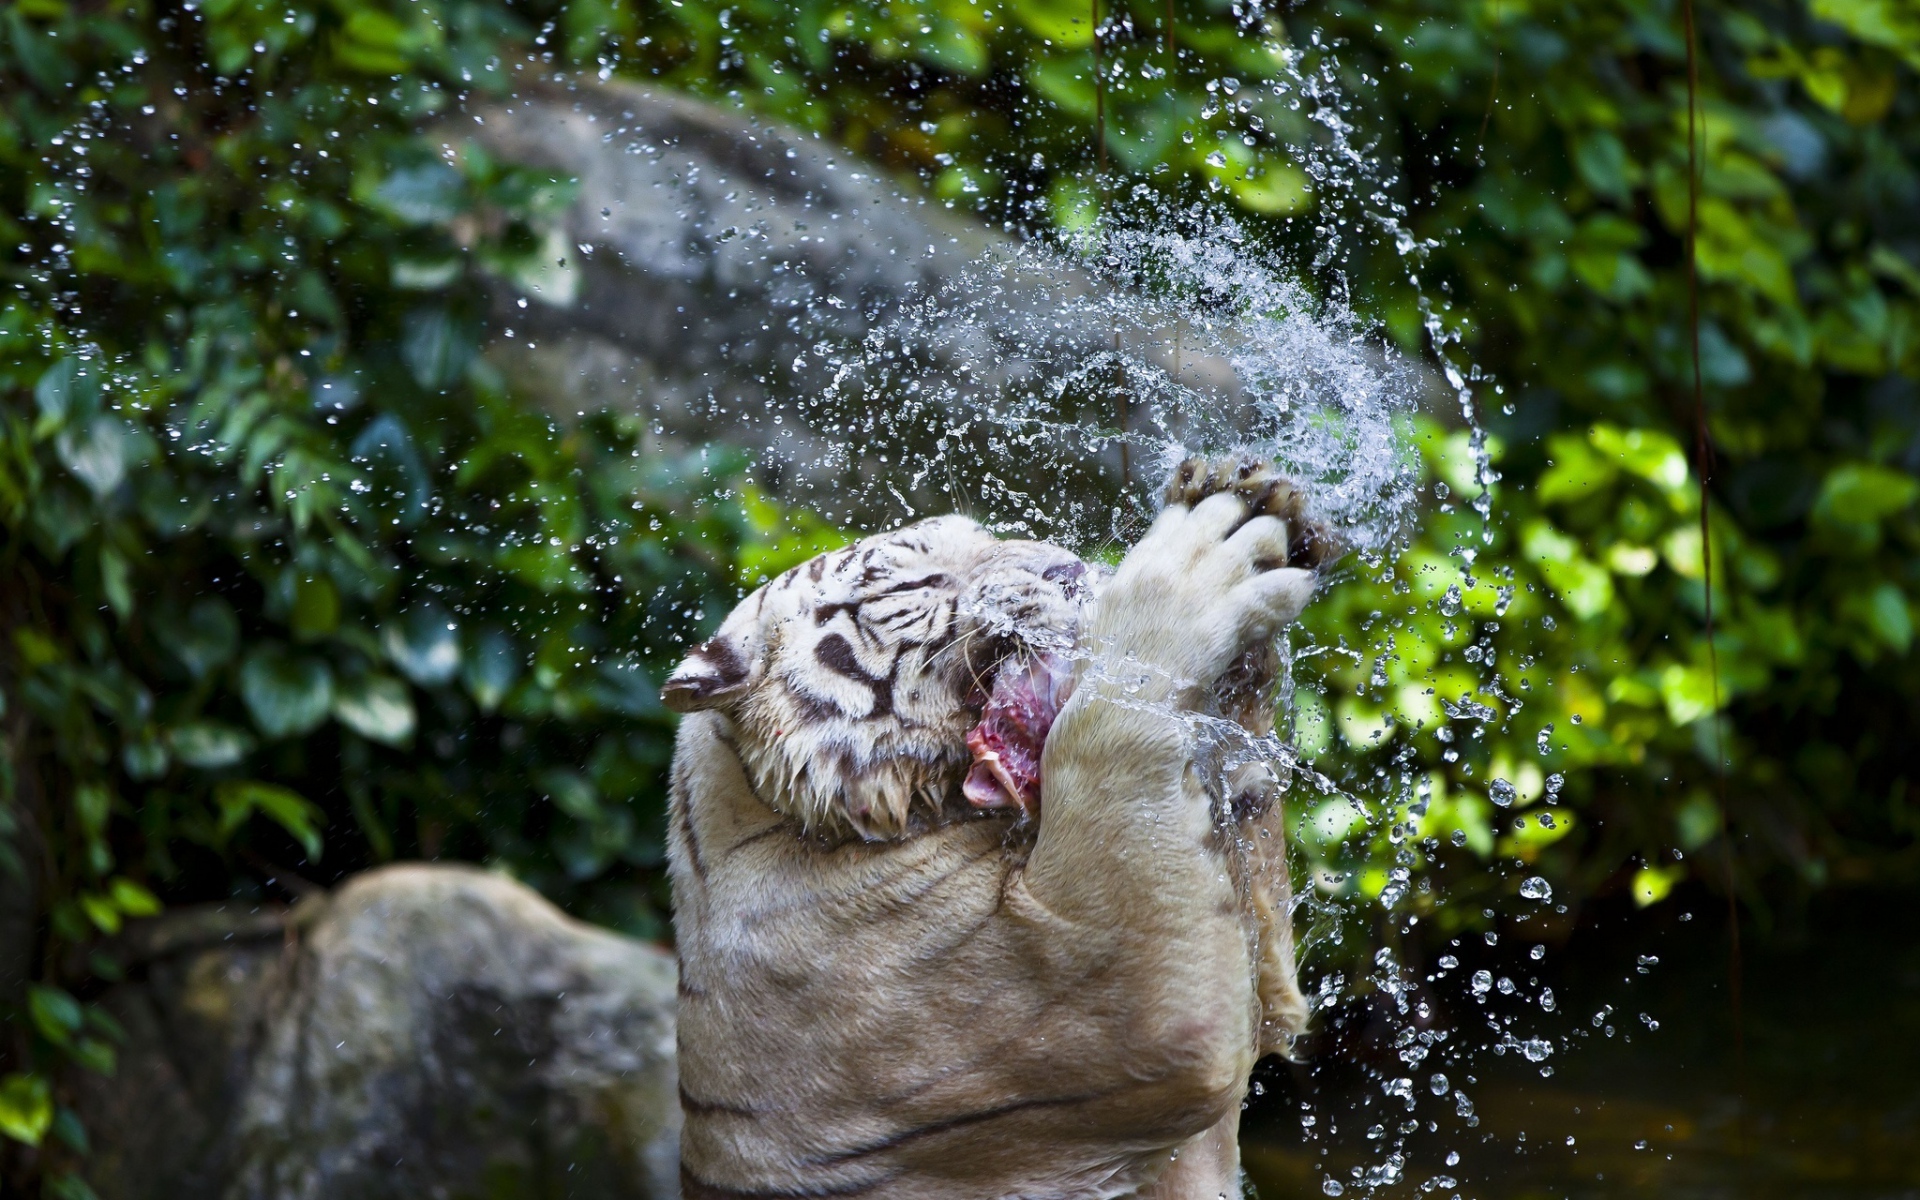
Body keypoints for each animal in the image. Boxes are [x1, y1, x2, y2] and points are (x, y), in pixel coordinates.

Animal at [662, 455, 1335, 1200]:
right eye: (920, 580)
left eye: (985, 534)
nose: (1064, 567)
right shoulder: (1114, 1002)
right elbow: (1109, 720)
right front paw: (1197, 561)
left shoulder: (1258, 987)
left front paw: (1253, 497)